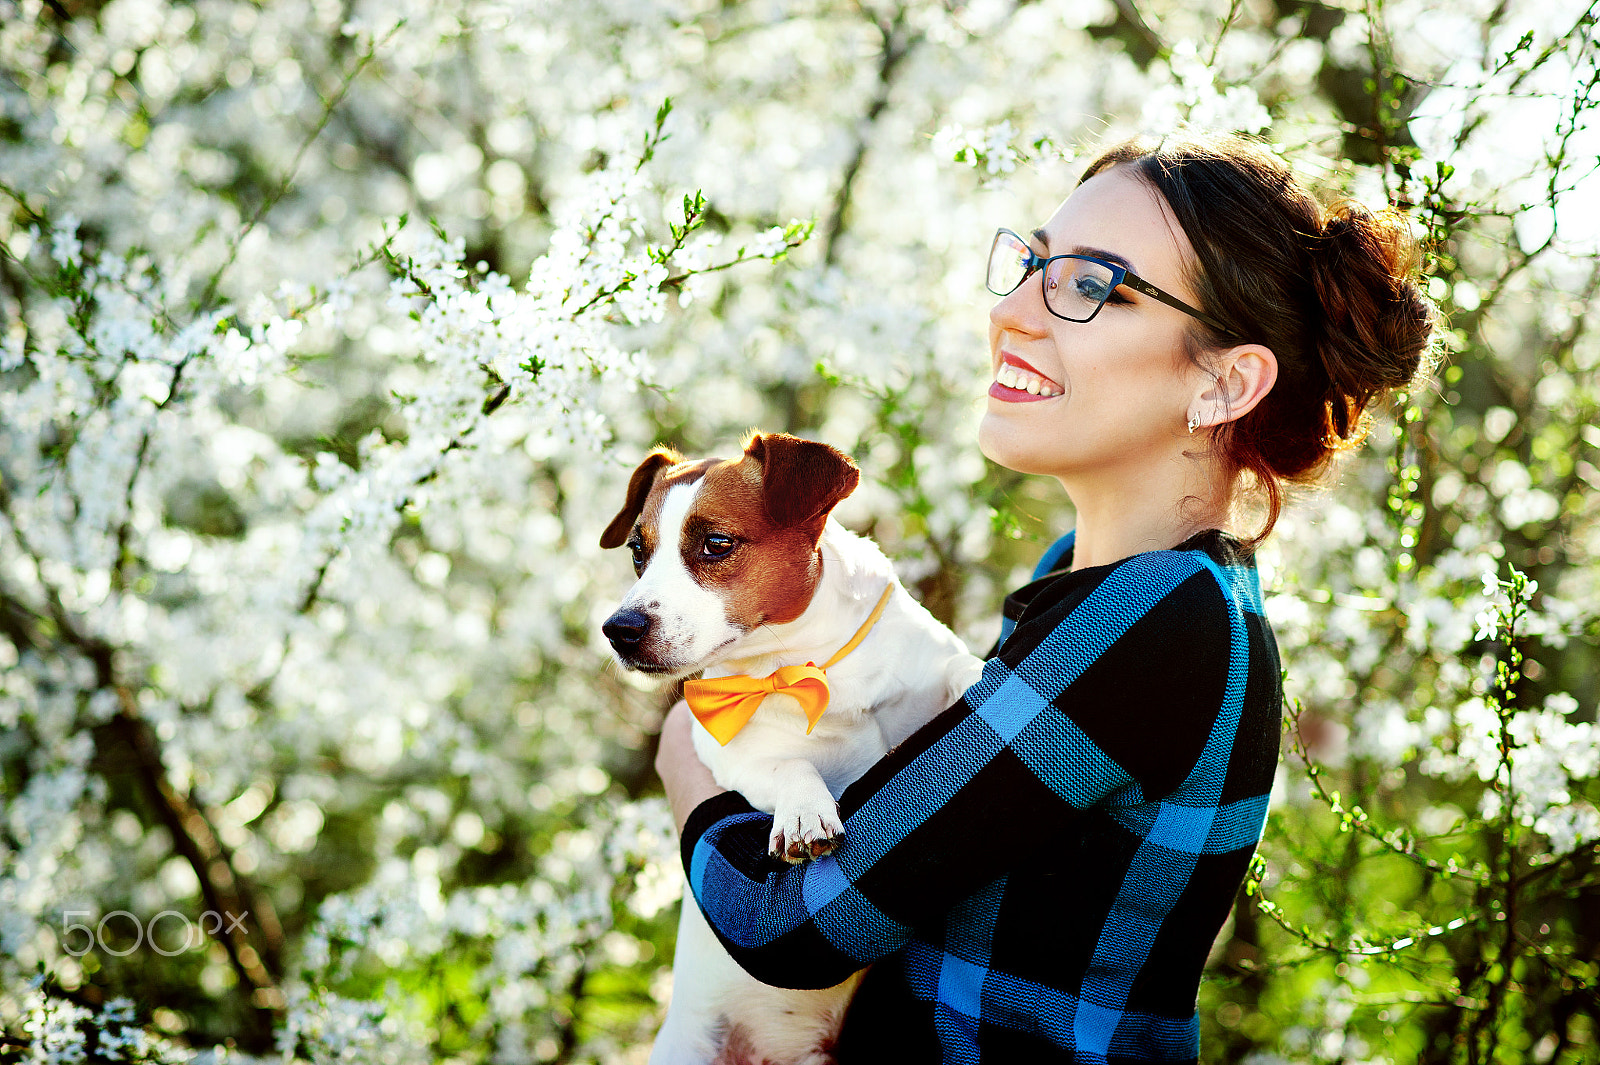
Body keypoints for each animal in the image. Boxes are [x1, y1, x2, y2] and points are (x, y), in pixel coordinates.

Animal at [598, 428, 972, 1061]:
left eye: (716, 544)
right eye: (637, 554)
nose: (618, 629)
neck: (808, 664)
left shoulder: (933, 670)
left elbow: (966, 670)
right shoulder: (729, 754)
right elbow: (790, 763)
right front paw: (803, 813)